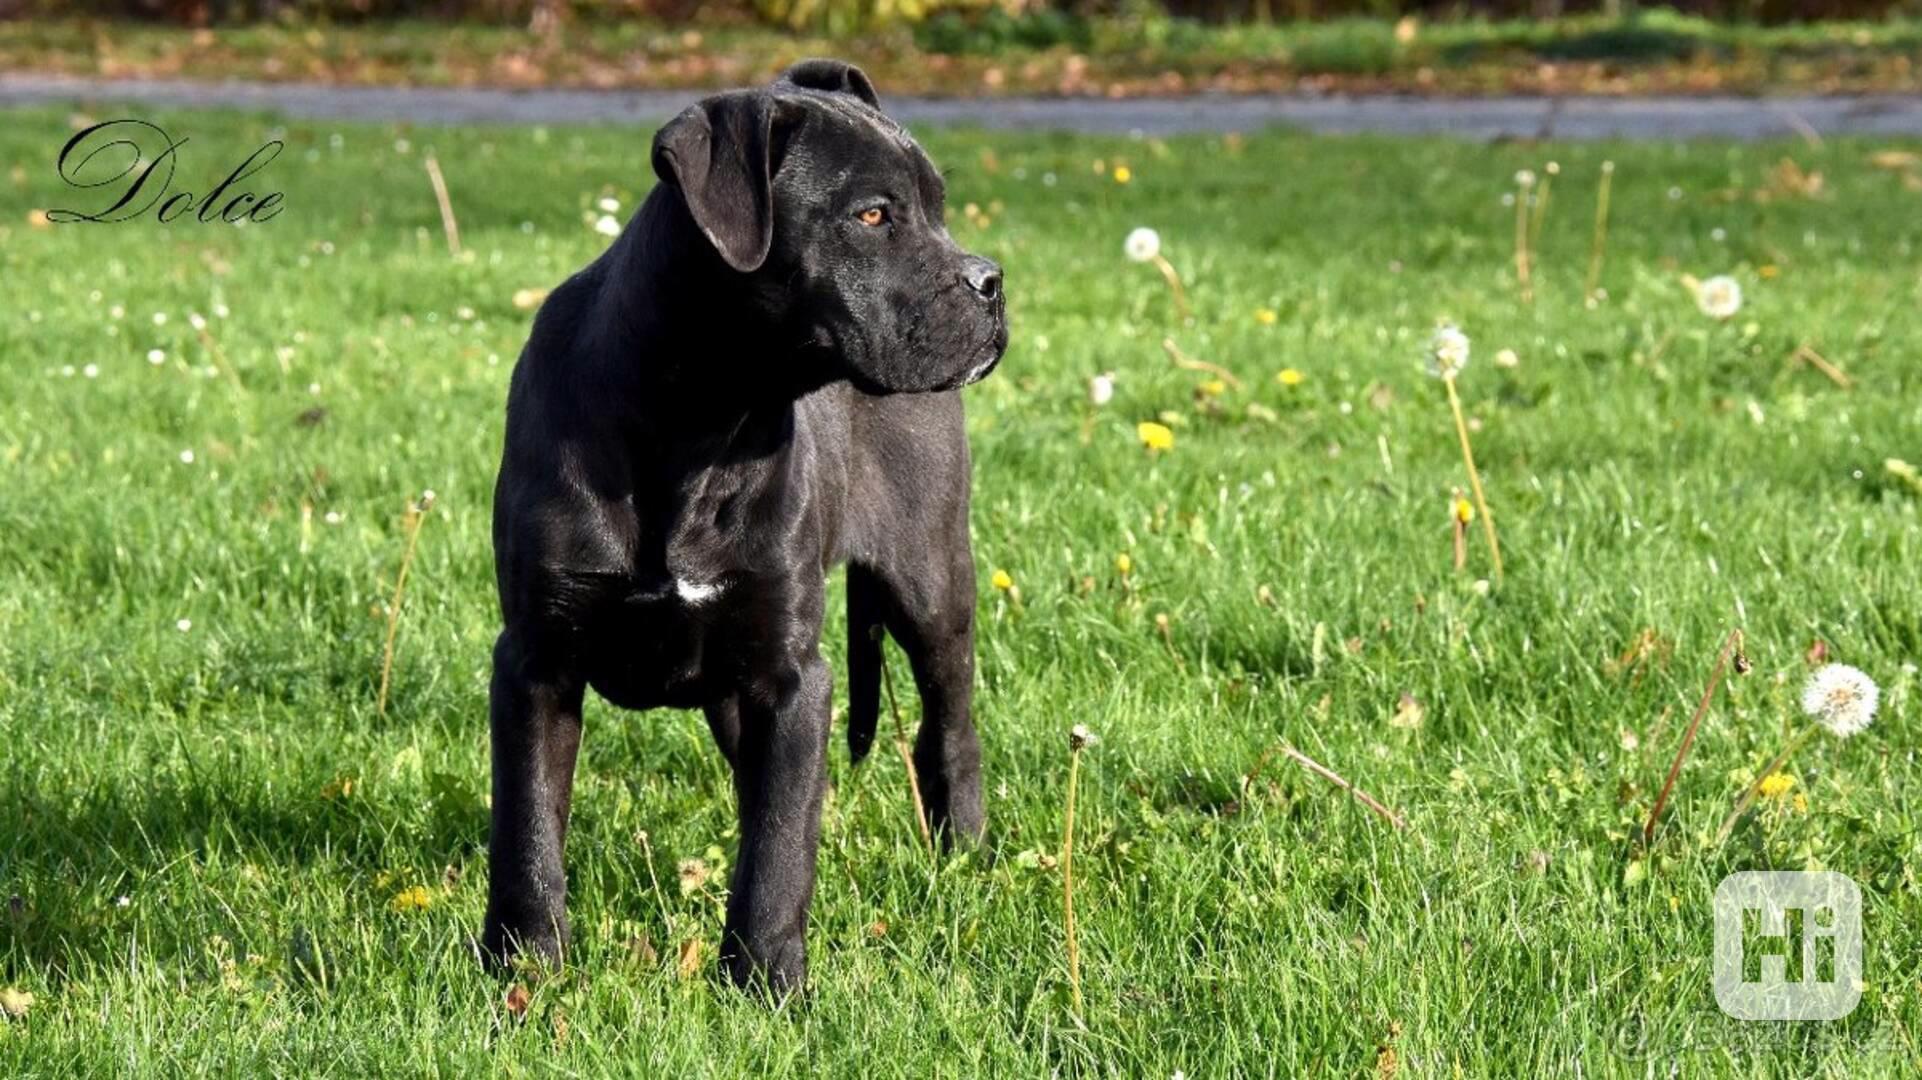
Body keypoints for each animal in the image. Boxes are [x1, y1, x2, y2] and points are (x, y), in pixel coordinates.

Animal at [484, 56, 1007, 983]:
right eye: (872, 215)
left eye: (939, 207)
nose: (991, 282)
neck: (699, 421)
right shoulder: (536, 662)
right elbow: (528, 829)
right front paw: (525, 972)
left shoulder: (792, 676)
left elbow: (776, 845)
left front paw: (767, 982)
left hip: (931, 578)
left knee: (949, 724)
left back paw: (964, 851)